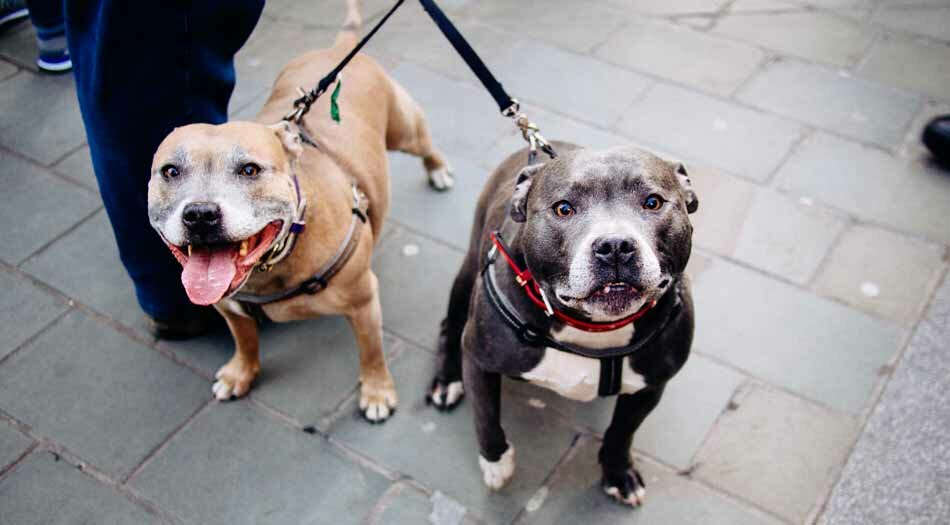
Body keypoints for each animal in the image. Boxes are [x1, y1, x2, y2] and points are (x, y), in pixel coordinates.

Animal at [147, 0, 452, 418]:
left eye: (250, 170)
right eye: (171, 171)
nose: (200, 214)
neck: (273, 264)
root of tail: (337, 50)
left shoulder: (363, 301)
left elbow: (371, 350)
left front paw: (376, 391)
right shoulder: (228, 307)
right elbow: (245, 340)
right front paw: (241, 373)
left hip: (406, 130)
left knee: (426, 145)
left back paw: (438, 170)